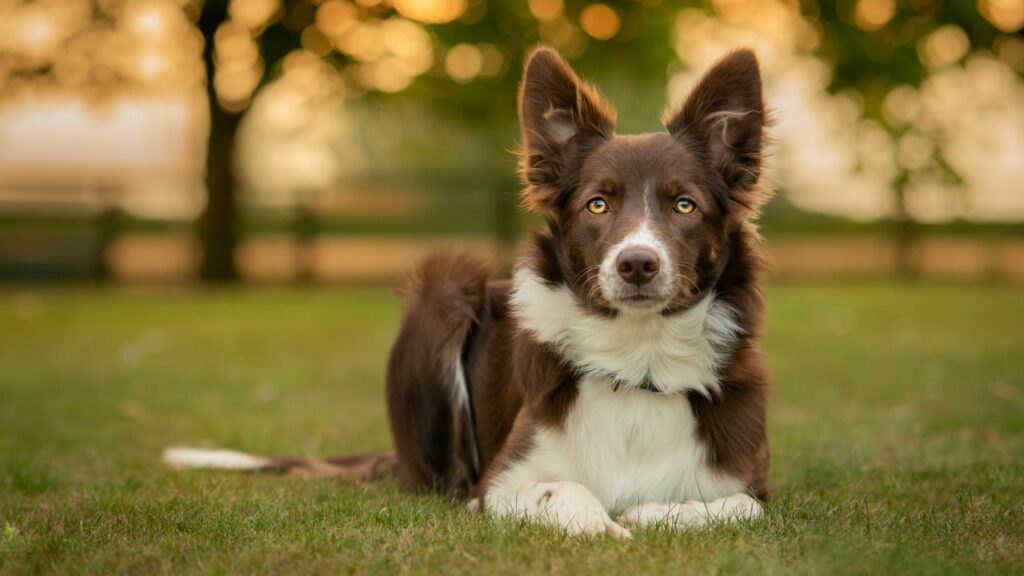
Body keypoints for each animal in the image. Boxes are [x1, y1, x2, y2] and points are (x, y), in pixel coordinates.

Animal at [167, 45, 770, 537]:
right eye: (597, 204)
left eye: (684, 204)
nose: (637, 264)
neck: (638, 362)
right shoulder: (499, 485)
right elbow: (562, 488)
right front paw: (605, 525)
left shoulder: (754, 482)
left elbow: (738, 506)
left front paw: (650, 512)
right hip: (445, 292)